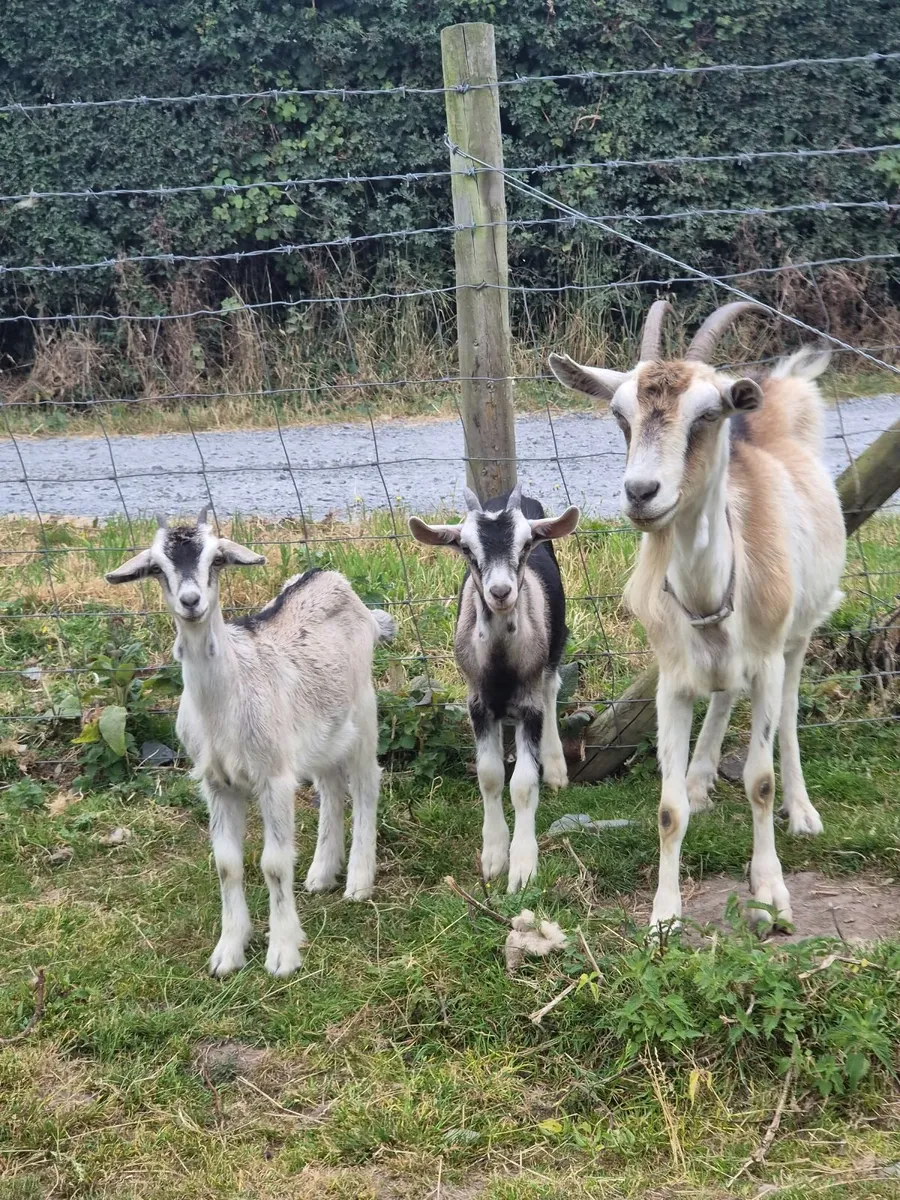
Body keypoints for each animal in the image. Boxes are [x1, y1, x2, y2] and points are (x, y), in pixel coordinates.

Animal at [106, 510, 396, 976]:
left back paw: (357, 882)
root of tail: (332, 578)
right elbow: (227, 864)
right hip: (320, 730)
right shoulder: (216, 782)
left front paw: (283, 953)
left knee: (367, 782)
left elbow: (273, 864)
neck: (225, 700)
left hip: (363, 709)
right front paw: (228, 952)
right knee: (331, 786)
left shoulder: (273, 776)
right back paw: (321, 873)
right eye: (158, 568)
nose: (190, 601)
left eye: (215, 559)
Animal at [409, 485, 579, 892]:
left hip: (555, 644)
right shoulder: (478, 704)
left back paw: (555, 768)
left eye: (526, 543)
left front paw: (522, 866)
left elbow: (523, 785)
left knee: (552, 687)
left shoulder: (530, 705)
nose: (500, 592)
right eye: (466, 547)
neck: (501, 664)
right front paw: (493, 855)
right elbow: (489, 776)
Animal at [549, 301, 846, 929]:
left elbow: (759, 780)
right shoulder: (671, 679)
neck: (710, 593)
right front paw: (664, 914)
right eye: (620, 414)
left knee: (787, 715)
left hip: (797, 635)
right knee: (724, 693)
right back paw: (701, 780)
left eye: (709, 413)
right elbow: (667, 808)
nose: (642, 492)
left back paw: (802, 811)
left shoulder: (766, 658)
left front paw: (771, 890)